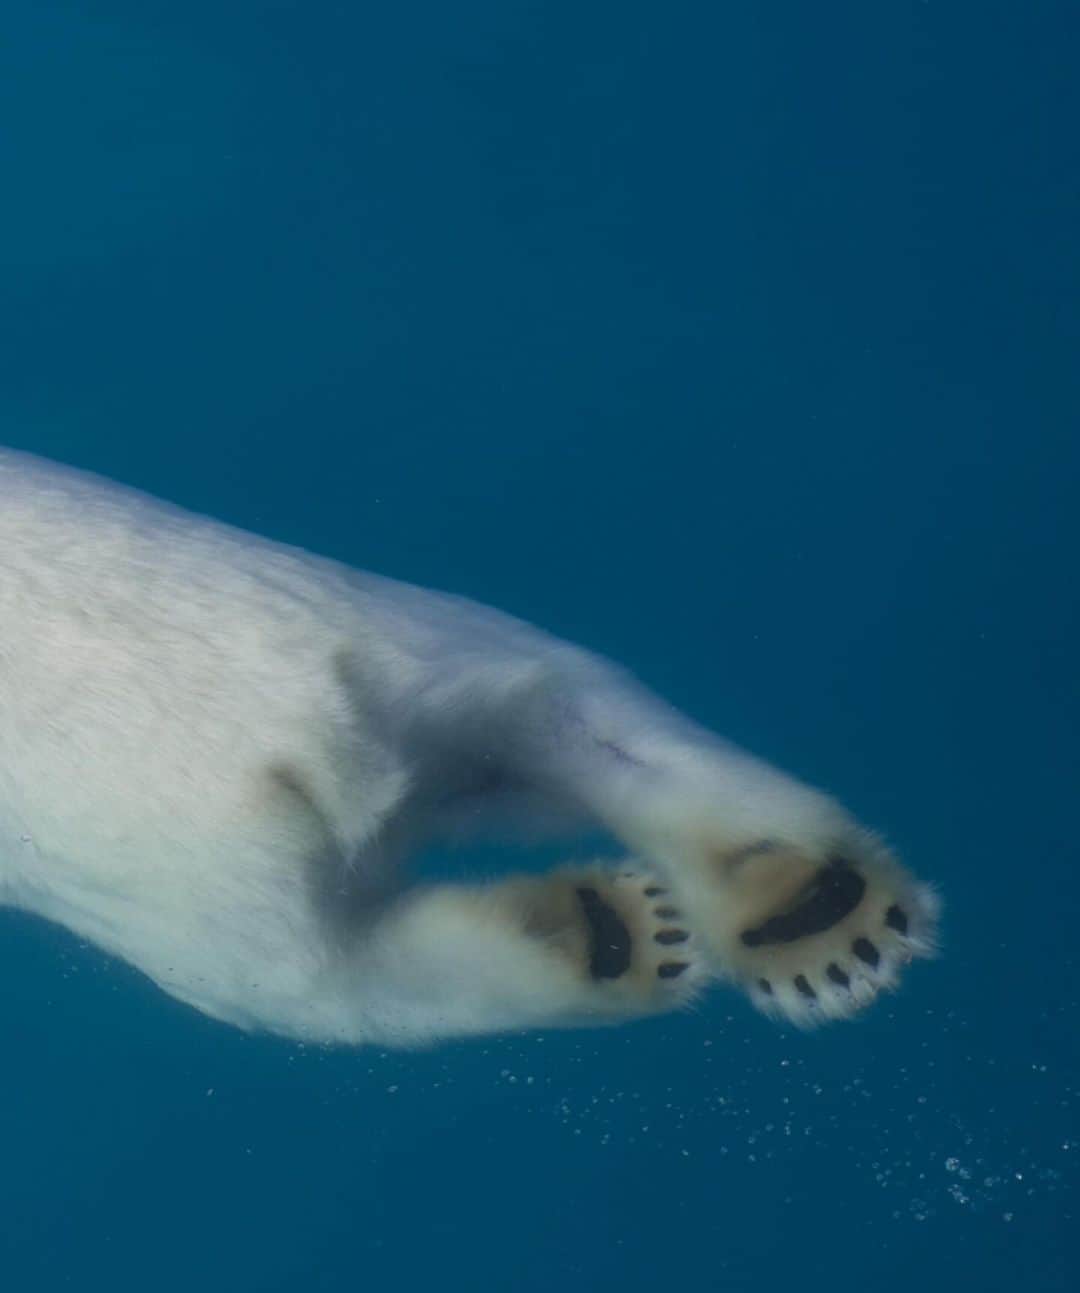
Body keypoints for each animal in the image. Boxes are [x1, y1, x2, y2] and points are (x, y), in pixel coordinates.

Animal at [0, 447, 938, 1046]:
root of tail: (315, 746)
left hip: (182, 883)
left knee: (329, 986)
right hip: (405, 640)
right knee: (572, 713)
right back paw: (773, 910)